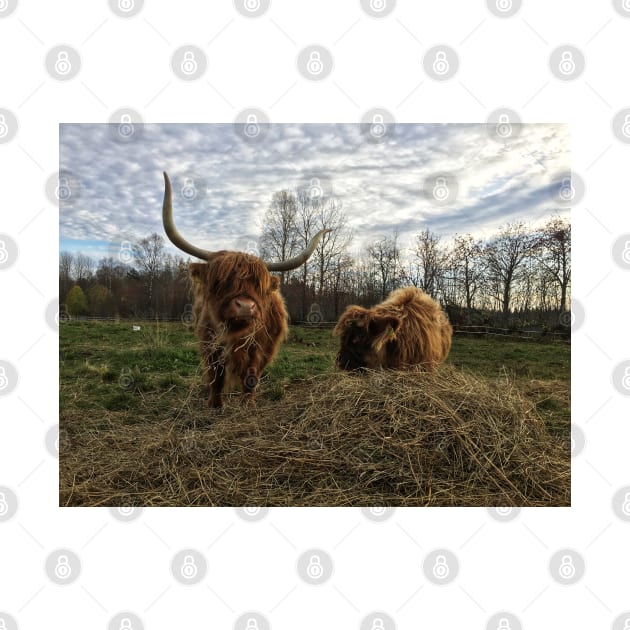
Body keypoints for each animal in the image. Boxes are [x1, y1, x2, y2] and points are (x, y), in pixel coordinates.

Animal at [162, 173, 330, 410]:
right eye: (221, 281)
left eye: (258, 286)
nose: (245, 306)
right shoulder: (210, 344)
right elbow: (216, 375)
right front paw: (215, 404)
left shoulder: (261, 348)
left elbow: (252, 374)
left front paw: (247, 403)